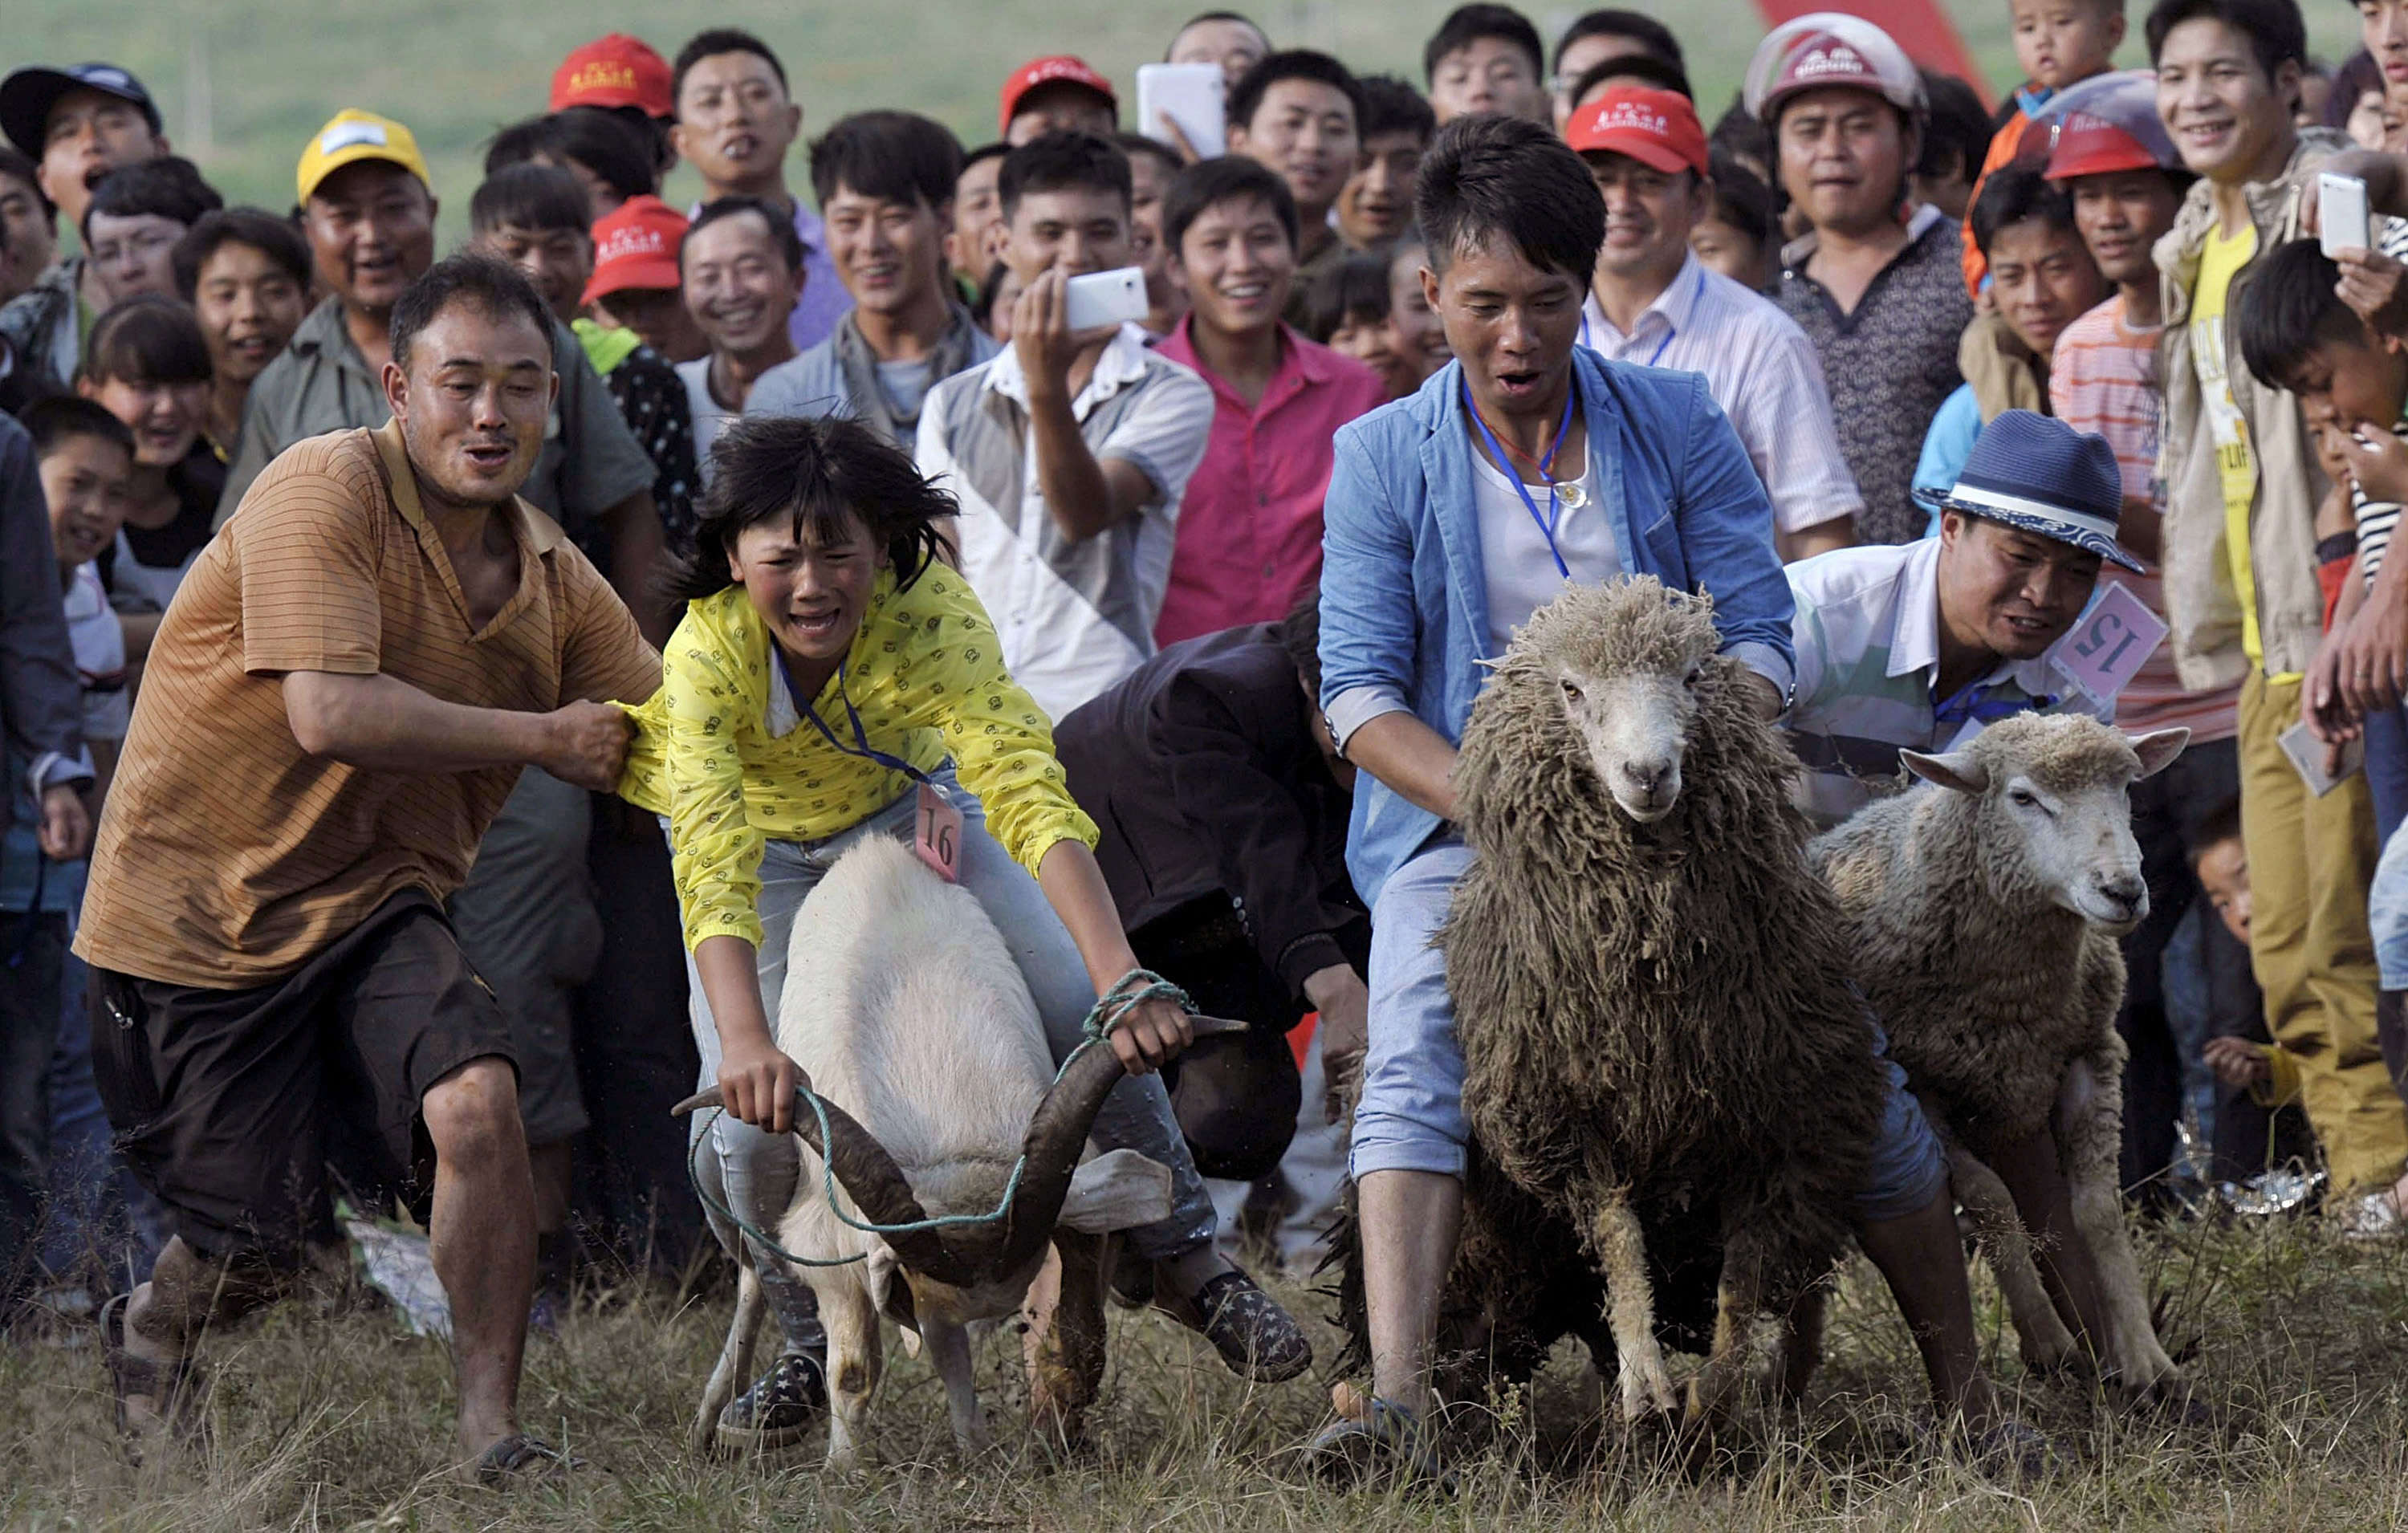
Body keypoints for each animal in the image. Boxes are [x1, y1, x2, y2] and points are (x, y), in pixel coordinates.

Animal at [684, 832, 1170, 1463]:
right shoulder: (833, 1245)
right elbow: (853, 1372)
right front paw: (844, 1472)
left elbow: (1027, 1340)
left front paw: (988, 1453)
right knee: (751, 1279)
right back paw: (715, 1421)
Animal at [1348, 579, 1888, 1425]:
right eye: (1571, 690)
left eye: (1695, 677)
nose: (1647, 773)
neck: (1652, 992)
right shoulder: (1562, 1121)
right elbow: (1617, 1236)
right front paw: (1648, 1380)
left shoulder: (1784, 1126)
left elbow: (1744, 1281)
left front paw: (1711, 1398)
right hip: (1482, 1253)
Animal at [1811, 712, 2196, 1396]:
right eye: (2022, 798)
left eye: (2127, 788)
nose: (2124, 891)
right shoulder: (1922, 1083)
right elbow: (1990, 1201)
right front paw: (2047, 1342)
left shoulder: (2089, 1055)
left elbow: (2097, 1210)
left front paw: (2145, 1359)